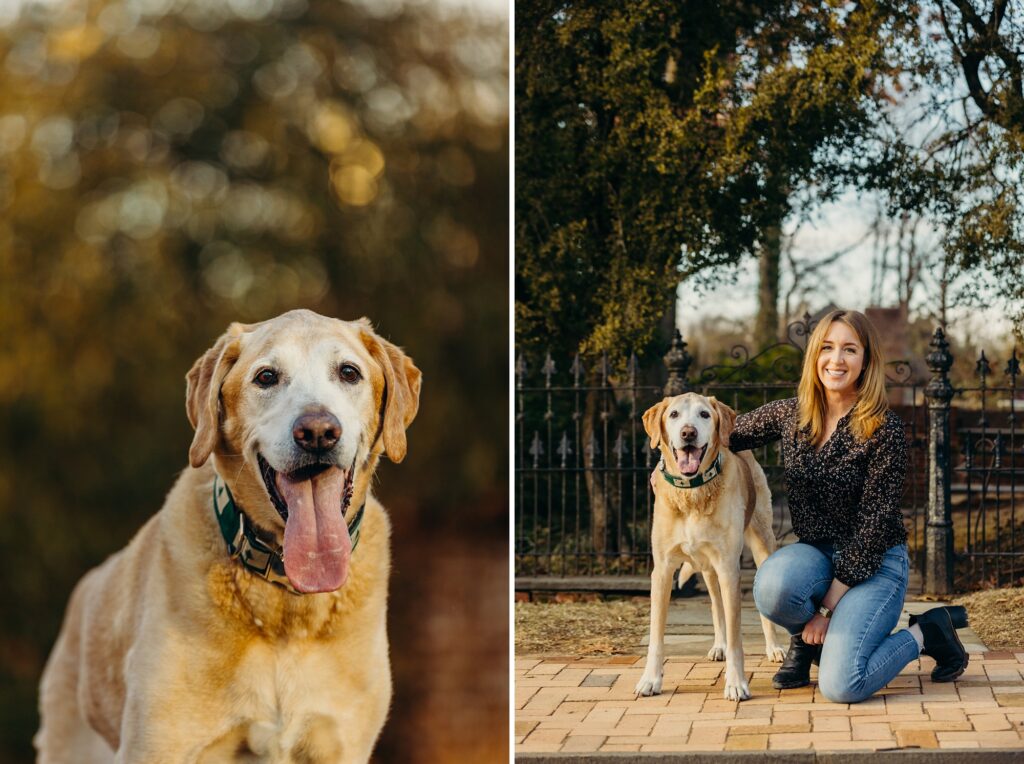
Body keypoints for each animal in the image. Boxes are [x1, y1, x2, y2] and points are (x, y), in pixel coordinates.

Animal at [36, 309, 419, 761]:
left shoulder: (340, 743)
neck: (284, 601)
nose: (318, 432)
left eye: (348, 372)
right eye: (267, 377)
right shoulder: (158, 745)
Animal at [630, 395, 782, 700]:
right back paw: (719, 645)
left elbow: (737, 638)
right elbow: (656, 636)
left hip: (762, 545)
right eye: (674, 414)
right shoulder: (662, 570)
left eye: (704, 415)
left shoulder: (729, 569)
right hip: (709, 569)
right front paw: (650, 679)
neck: (692, 493)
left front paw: (736, 683)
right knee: (715, 605)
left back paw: (773, 647)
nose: (688, 433)